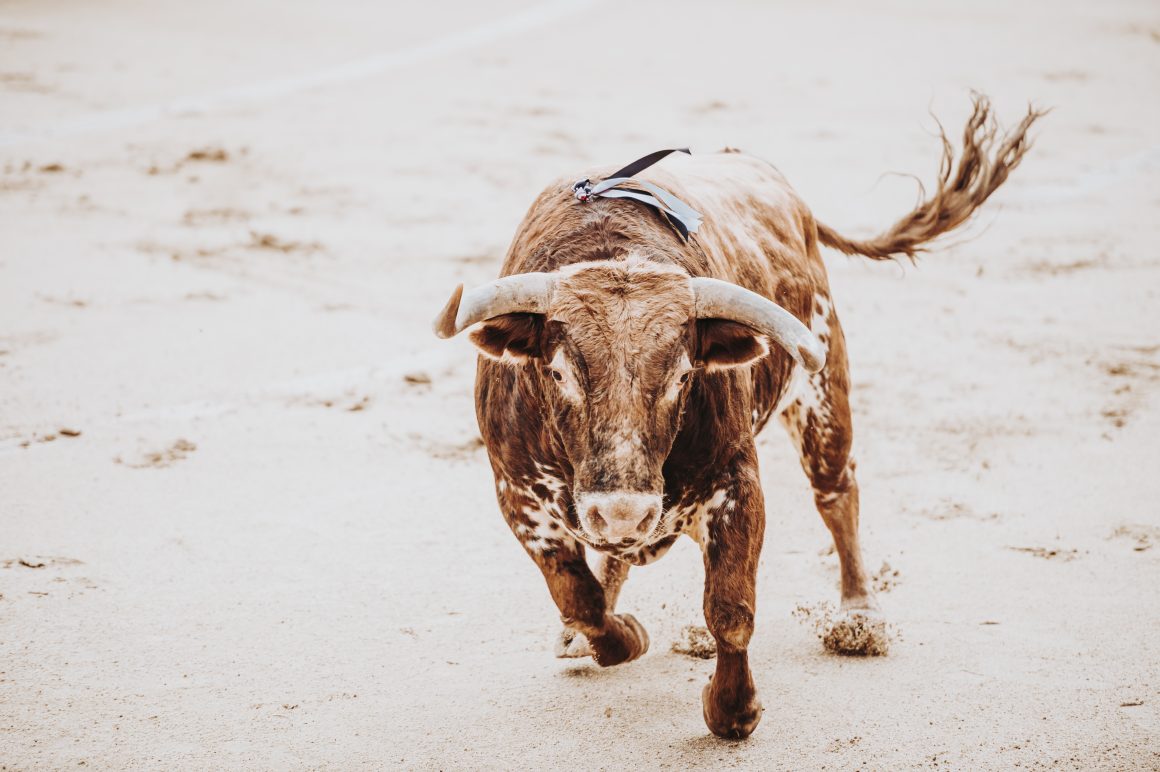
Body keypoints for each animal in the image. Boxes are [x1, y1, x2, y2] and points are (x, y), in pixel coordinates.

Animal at [436, 97, 1044, 741]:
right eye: (557, 373)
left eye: (683, 375)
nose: (623, 509)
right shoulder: (518, 495)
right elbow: (578, 597)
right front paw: (615, 636)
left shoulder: (738, 484)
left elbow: (730, 608)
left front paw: (733, 709)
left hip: (823, 393)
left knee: (837, 492)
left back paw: (859, 615)